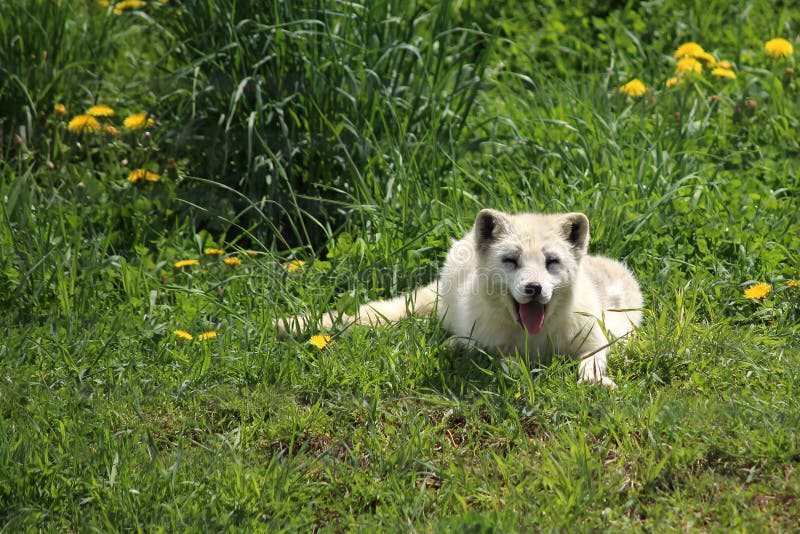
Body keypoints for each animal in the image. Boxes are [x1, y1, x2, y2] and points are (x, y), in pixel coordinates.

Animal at [277, 209, 643, 388]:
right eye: (511, 261)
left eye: (551, 262)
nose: (534, 288)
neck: (534, 340)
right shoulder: (487, 343)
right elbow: (501, 359)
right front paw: (518, 369)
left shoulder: (596, 336)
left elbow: (594, 358)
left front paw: (594, 378)